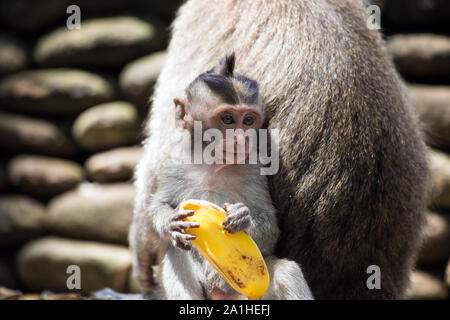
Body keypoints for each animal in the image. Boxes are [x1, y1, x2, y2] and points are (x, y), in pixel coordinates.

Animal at [146, 53, 312, 300]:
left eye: (248, 120)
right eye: (227, 119)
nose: (241, 139)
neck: (213, 164)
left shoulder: (254, 168)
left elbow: (270, 229)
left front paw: (243, 218)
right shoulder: (174, 161)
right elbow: (160, 203)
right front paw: (169, 222)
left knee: (287, 271)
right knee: (177, 257)